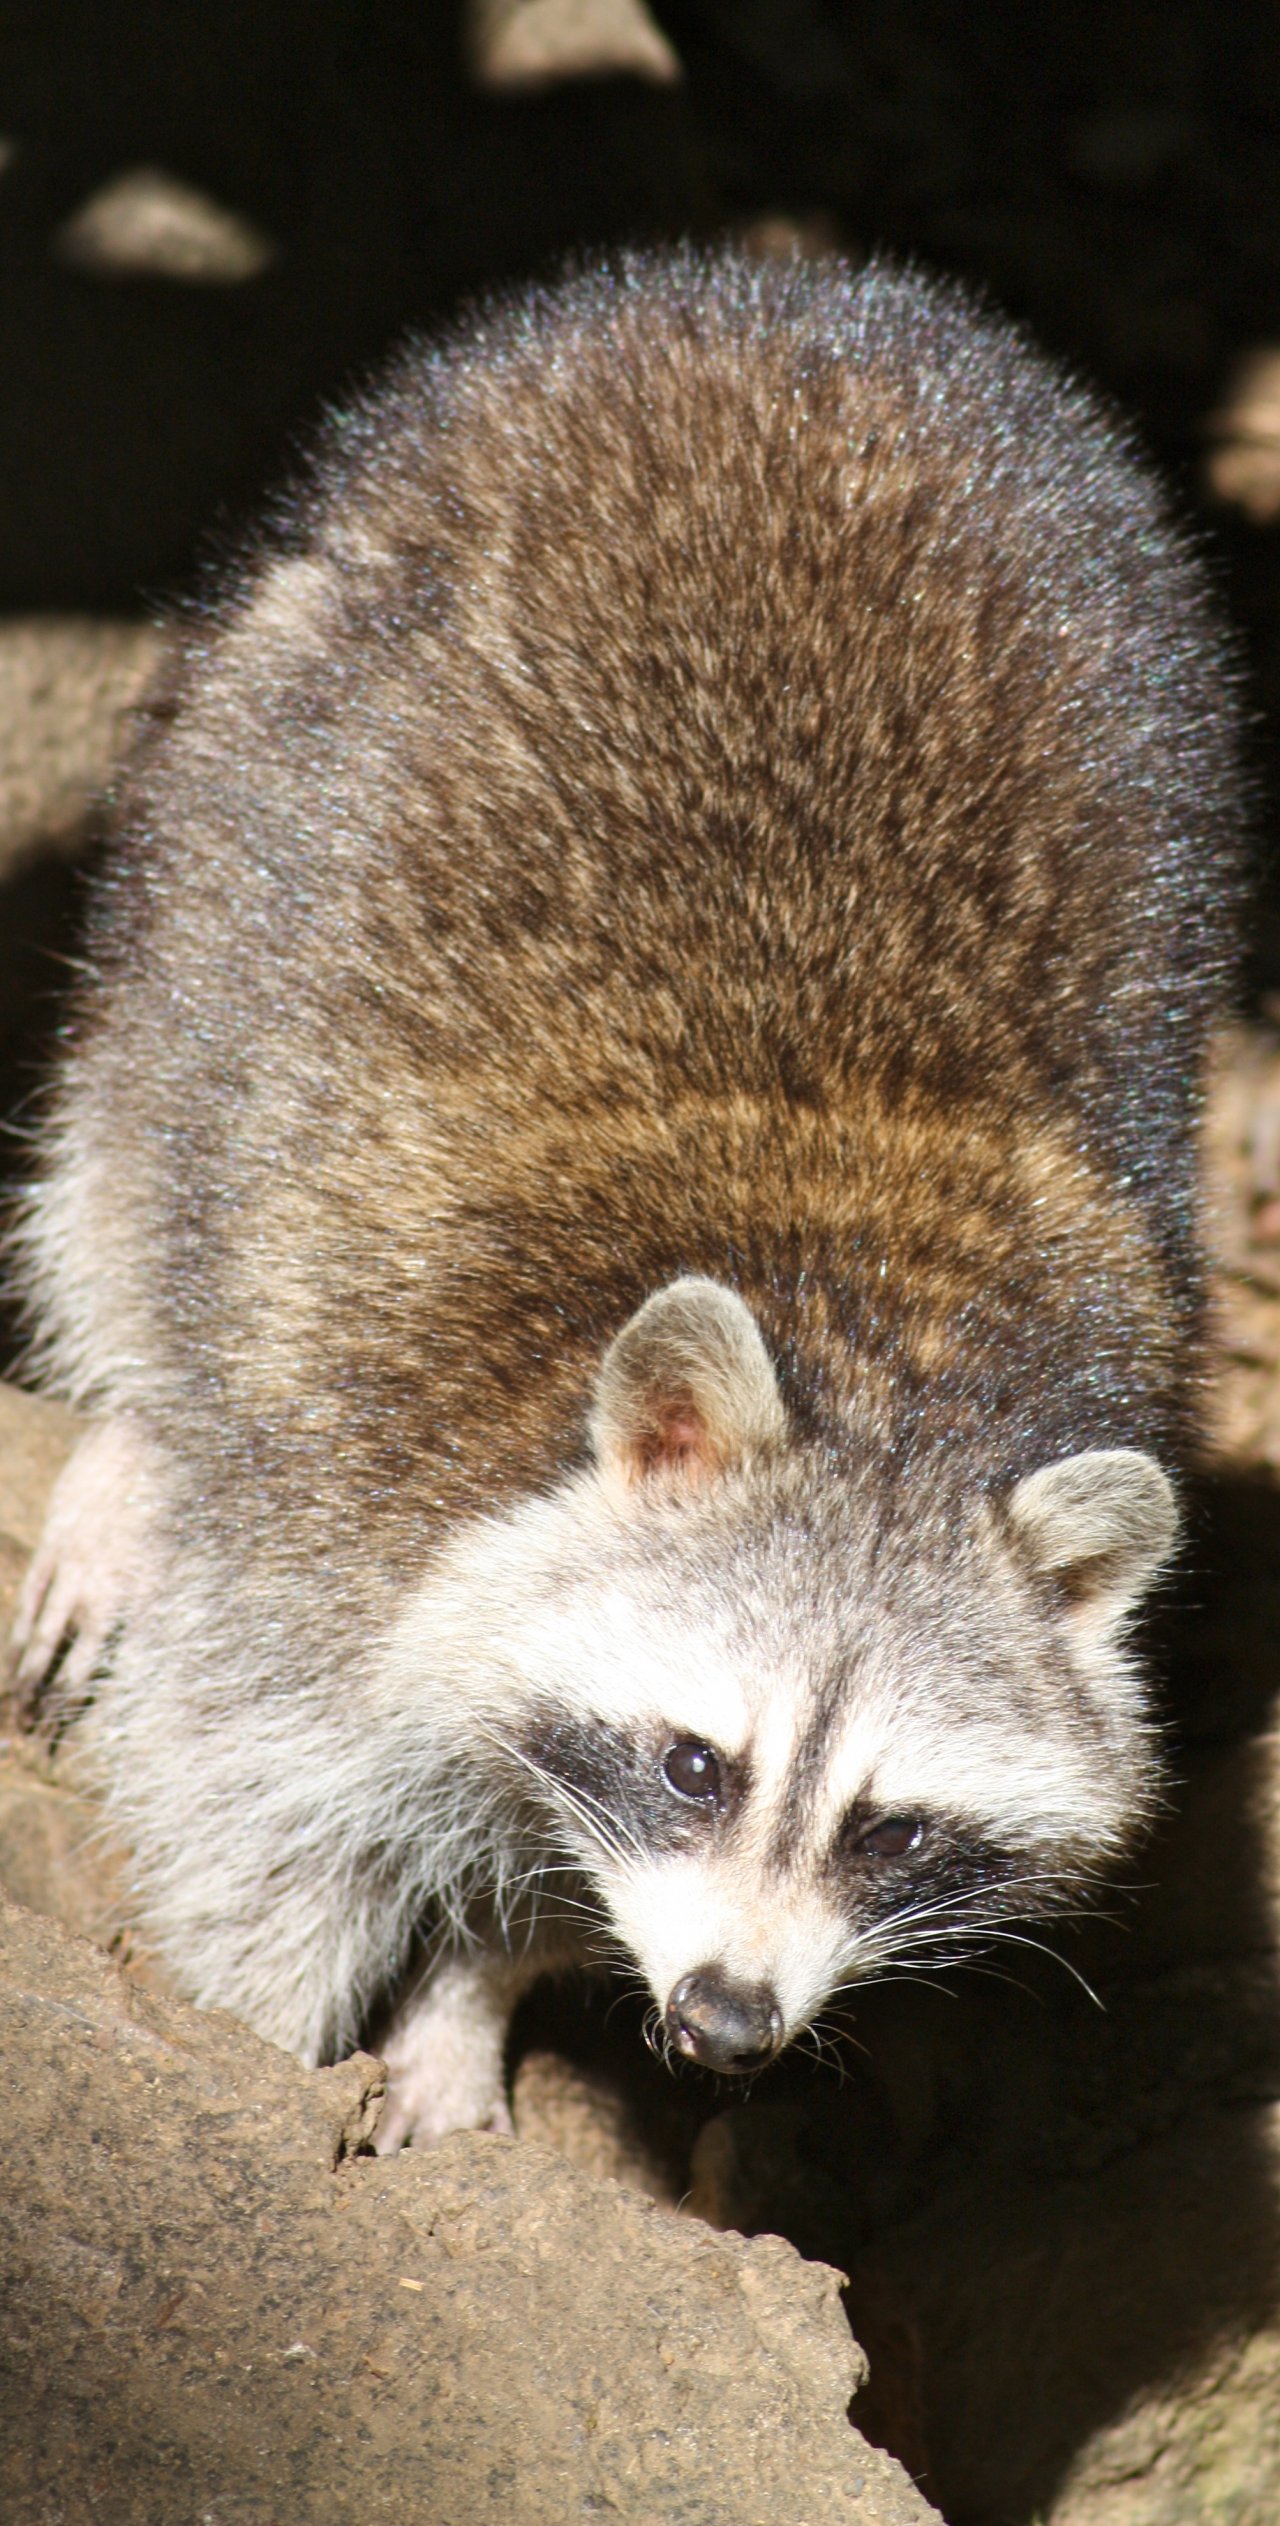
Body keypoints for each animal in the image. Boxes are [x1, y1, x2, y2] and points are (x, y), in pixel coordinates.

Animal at [7, 246, 1242, 2142]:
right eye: (694, 1761)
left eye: (892, 1828)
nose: (729, 2022)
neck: (894, 1374)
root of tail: (788, 290)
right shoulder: (361, 1477)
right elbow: (261, 1805)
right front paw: (256, 2042)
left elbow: (525, 1842)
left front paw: (477, 1991)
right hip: (252, 740)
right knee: (155, 1125)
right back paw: (140, 1424)